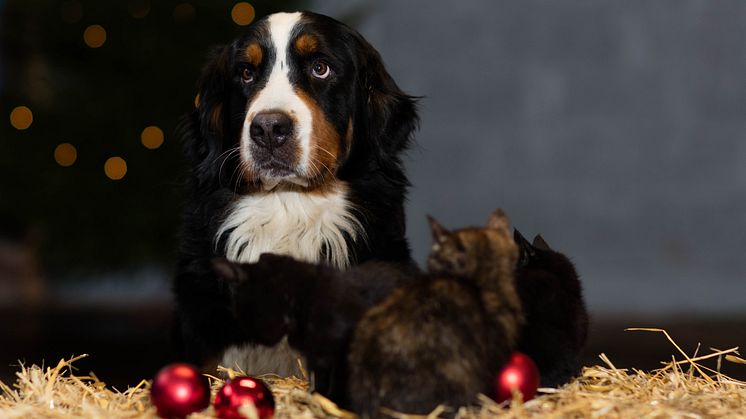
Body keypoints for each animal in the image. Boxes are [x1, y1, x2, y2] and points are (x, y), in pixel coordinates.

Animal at [212, 254, 416, 408]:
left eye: (250, 314)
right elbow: (320, 379)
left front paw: (338, 404)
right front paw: (317, 398)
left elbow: (341, 379)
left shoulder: (343, 351)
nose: (259, 340)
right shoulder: (316, 357)